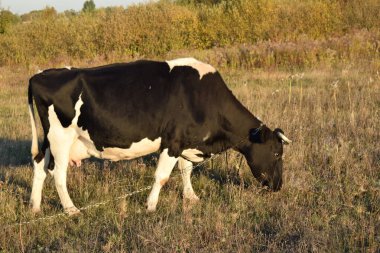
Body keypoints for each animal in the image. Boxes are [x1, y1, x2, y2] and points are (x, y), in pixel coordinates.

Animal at [28, 57, 292, 215]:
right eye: (276, 153)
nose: (279, 186)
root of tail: (40, 74)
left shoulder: (186, 143)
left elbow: (186, 171)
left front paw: (191, 197)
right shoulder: (172, 142)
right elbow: (162, 177)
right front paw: (151, 205)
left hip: (49, 140)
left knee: (40, 165)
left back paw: (35, 207)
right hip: (61, 137)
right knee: (58, 174)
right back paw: (71, 209)